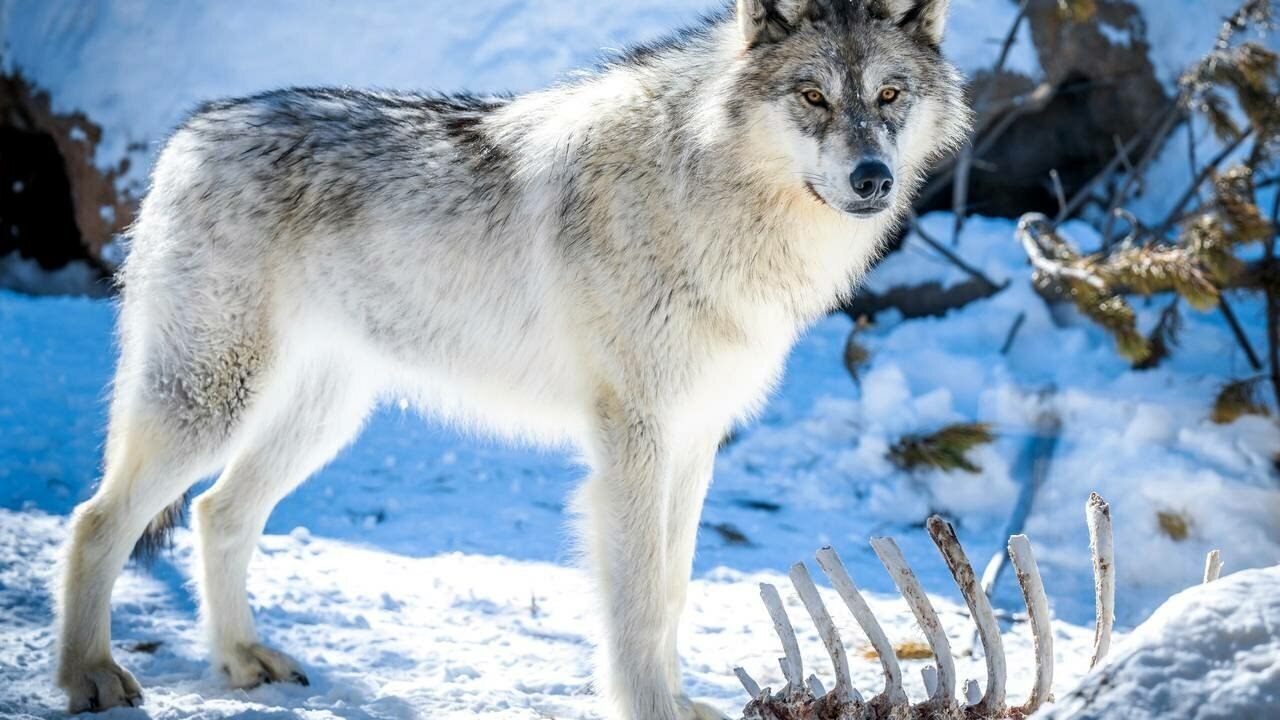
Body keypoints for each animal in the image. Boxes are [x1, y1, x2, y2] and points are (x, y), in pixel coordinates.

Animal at [55, 0, 962, 712]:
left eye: (889, 94)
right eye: (812, 96)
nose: (872, 178)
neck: (710, 194)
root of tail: (188, 135)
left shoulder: (695, 437)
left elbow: (672, 591)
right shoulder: (633, 441)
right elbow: (637, 601)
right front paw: (651, 708)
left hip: (319, 419)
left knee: (218, 512)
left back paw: (242, 661)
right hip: (211, 405)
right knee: (97, 520)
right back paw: (90, 676)